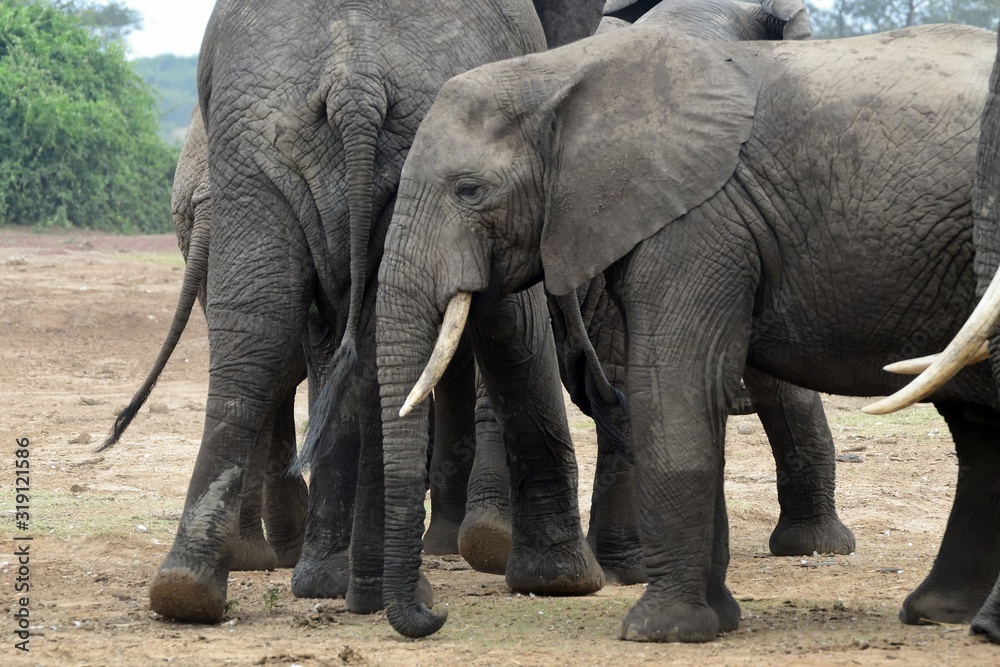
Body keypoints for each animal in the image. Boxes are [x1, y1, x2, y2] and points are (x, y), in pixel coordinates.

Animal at [374, 23, 1000, 644]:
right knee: (974, 424)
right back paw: (938, 613)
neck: (560, 73)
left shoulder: (697, 221)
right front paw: (716, 621)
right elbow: (692, 393)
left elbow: (674, 385)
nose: (436, 615)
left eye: (469, 191)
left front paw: (660, 630)